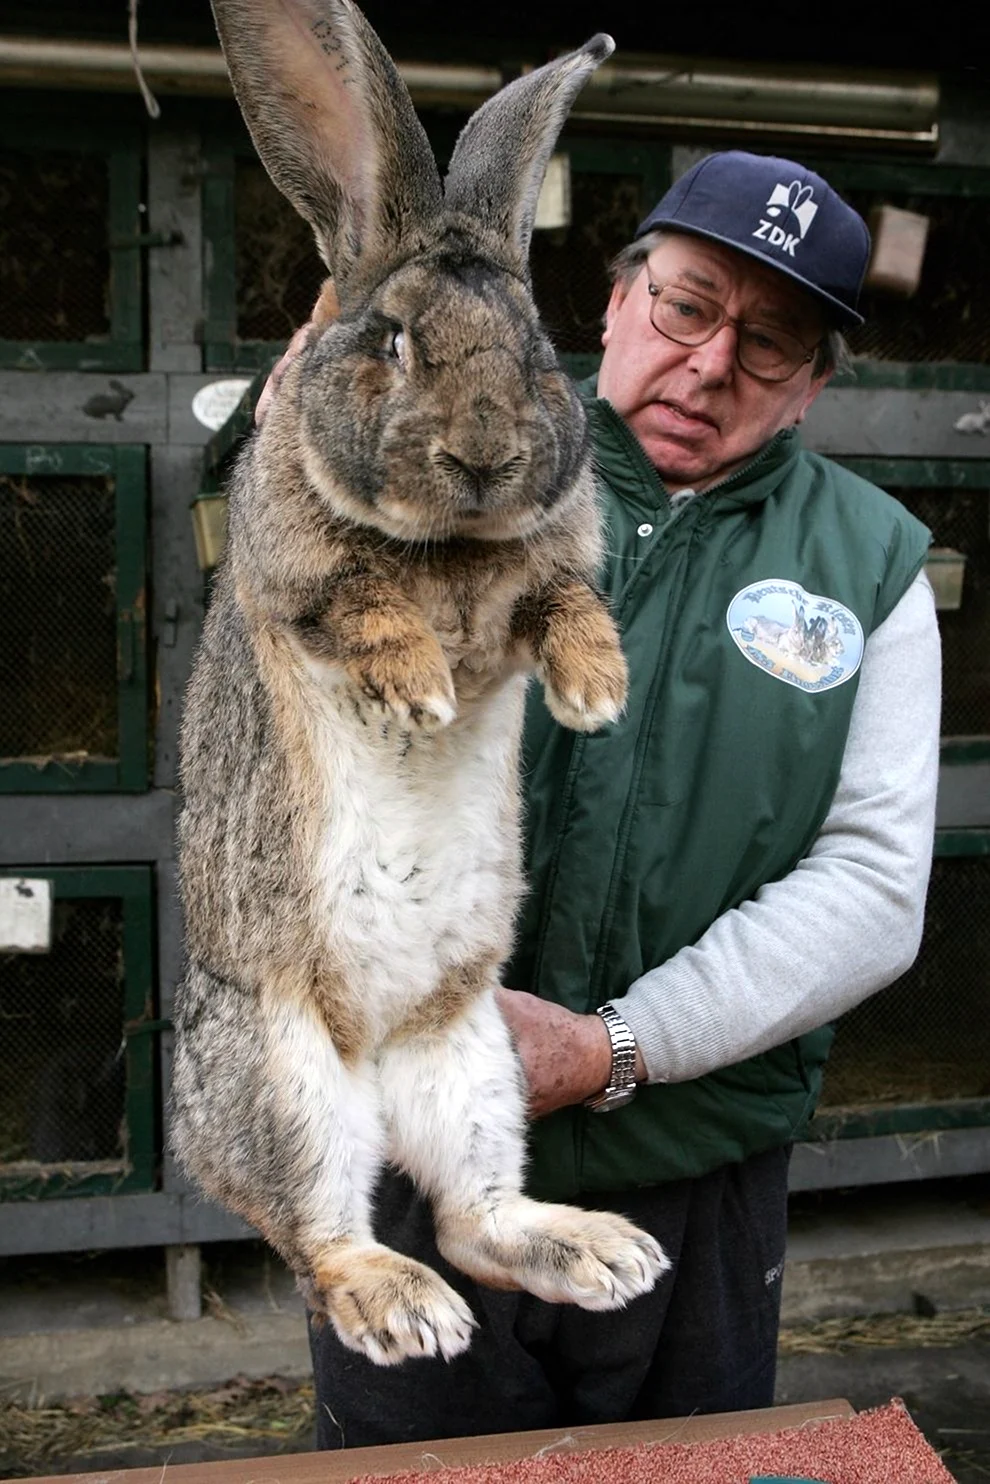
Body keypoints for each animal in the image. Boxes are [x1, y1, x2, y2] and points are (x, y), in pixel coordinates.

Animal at [174, 0, 670, 1365]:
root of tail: (383, 1053)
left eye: (543, 350)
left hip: (476, 1062)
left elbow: (562, 603)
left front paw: (595, 690)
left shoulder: (540, 578)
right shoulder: (298, 578)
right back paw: (403, 1305)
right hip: (289, 1073)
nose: (487, 456)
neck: (451, 543)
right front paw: (416, 692)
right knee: (323, 1237)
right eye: (392, 341)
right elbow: (361, 606)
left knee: (470, 1216)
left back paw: (599, 1250)